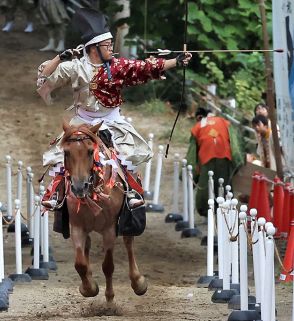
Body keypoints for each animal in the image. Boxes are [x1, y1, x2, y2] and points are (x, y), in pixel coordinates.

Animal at [59, 121, 147, 302]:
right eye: (66, 152)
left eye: (90, 151)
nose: (79, 187)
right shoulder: (77, 226)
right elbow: (80, 264)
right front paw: (89, 288)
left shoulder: (109, 229)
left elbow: (108, 265)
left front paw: (110, 298)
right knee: (87, 246)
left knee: (128, 243)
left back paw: (138, 282)